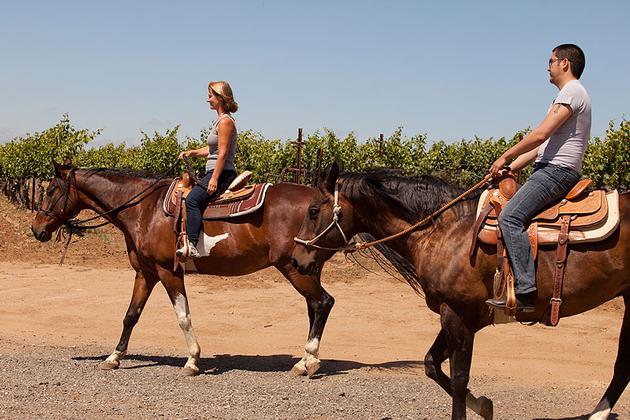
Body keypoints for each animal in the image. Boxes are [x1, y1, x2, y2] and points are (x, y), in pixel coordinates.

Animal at [32, 162, 338, 378]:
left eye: (50, 190)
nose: (37, 229)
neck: (145, 208)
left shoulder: (169, 272)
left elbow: (183, 317)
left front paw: (192, 360)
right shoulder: (146, 273)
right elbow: (131, 315)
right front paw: (114, 357)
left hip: (294, 269)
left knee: (323, 302)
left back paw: (308, 362)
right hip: (306, 268)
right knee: (315, 308)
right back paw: (306, 361)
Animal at [294, 162, 628, 420]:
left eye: (313, 210)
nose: (297, 259)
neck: (444, 231)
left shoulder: (459, 315)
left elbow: (457, 378)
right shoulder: (456, 315)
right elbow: (431, 364)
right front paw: (482, 405)